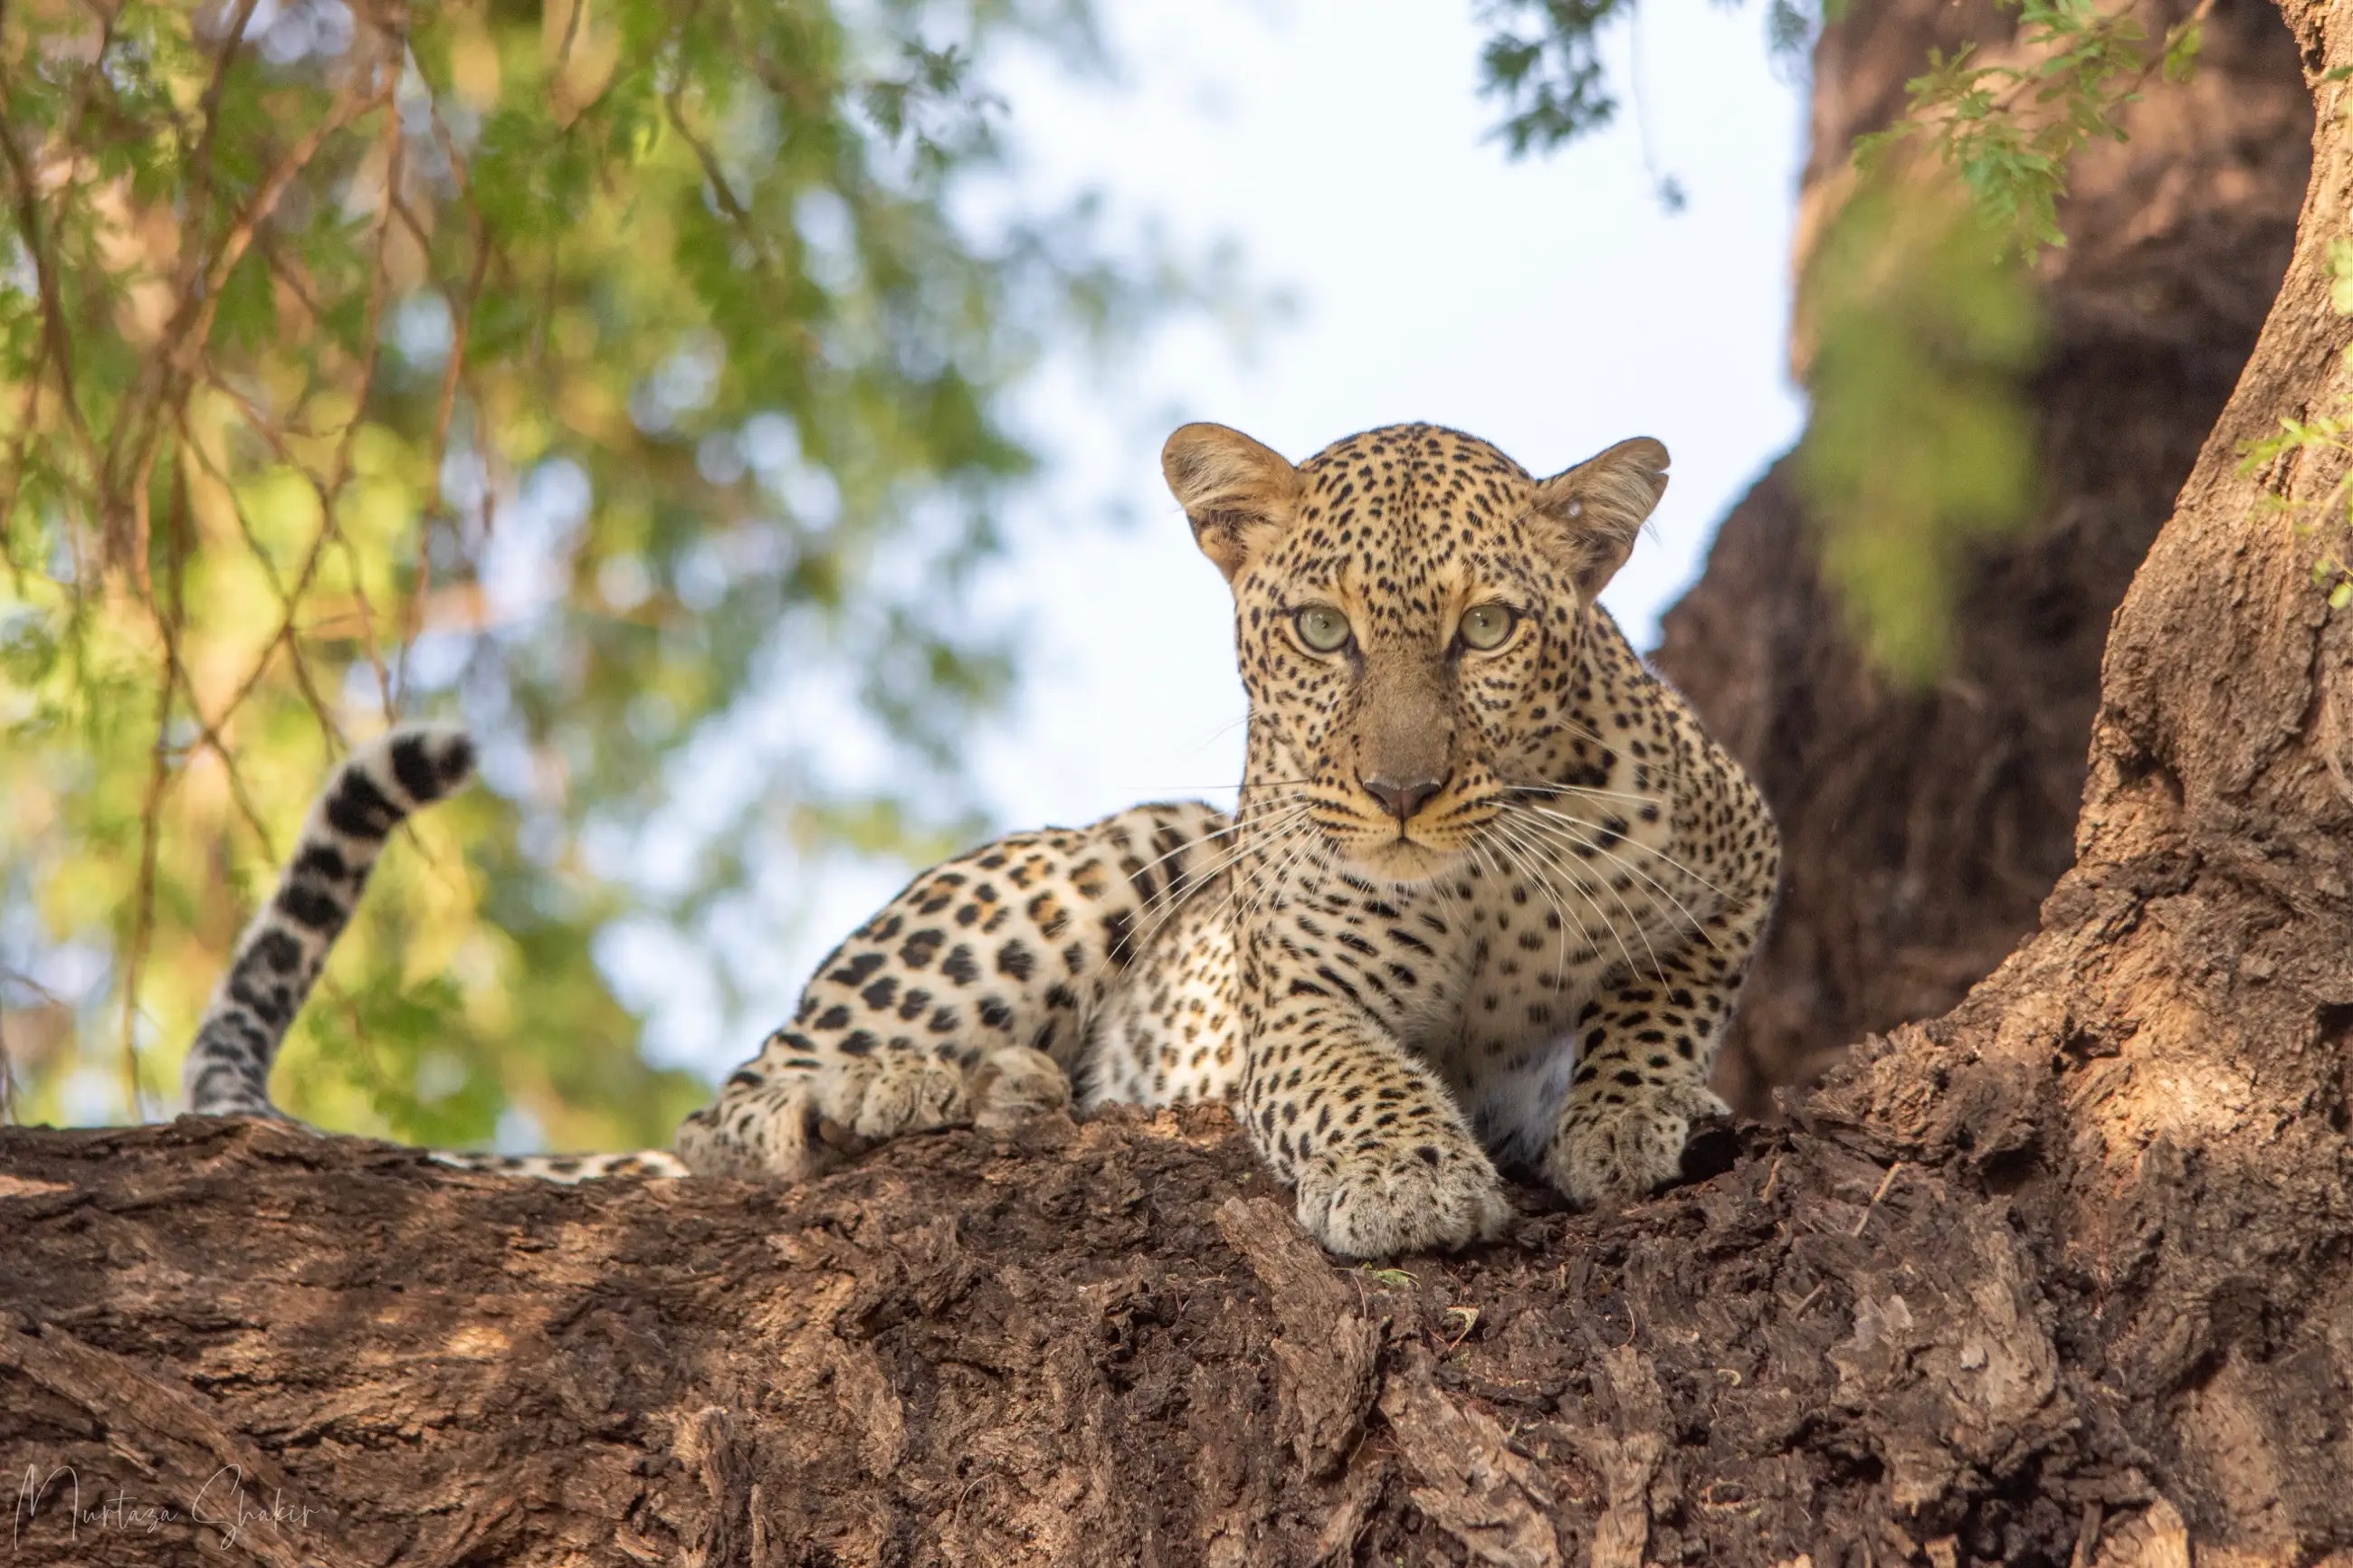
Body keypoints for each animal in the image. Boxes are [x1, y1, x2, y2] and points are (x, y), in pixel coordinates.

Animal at [182, 421, 1780, 1258]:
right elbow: (1350, 1070)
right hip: (1119, 852)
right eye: (1325, 632)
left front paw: (1632, 1112)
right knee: (726, 1116)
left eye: (1490, 628)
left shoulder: (1738, 846)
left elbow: (1669, 987)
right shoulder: (1297, 997)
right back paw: (908, 1097)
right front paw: (1407, 1181)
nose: (1398, 791)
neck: (1480, 880)